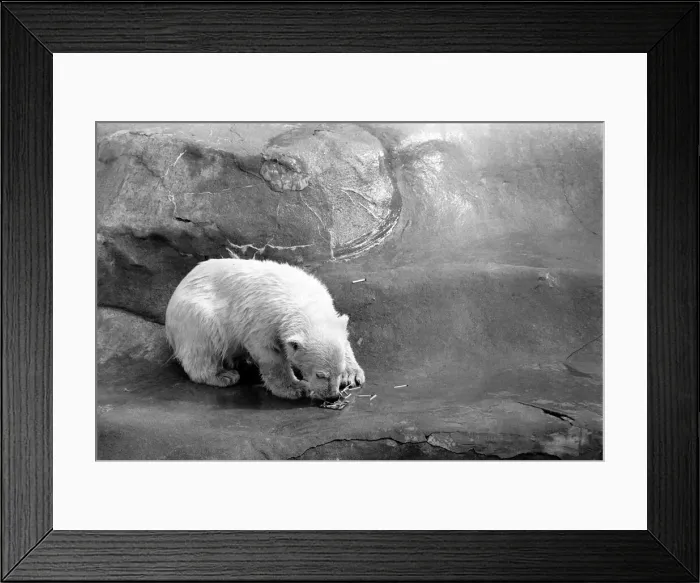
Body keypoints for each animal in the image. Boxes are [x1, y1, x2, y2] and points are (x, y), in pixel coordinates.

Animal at [165, 257, 365, 401]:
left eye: (339, 371)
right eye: (320, 375)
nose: (332, 396)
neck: (302, 301)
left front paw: (352, 375)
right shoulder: (263, 320)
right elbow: (270, 354)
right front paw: (296, 388)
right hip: (196, 316)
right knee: (204, 345)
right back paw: (223, 375)